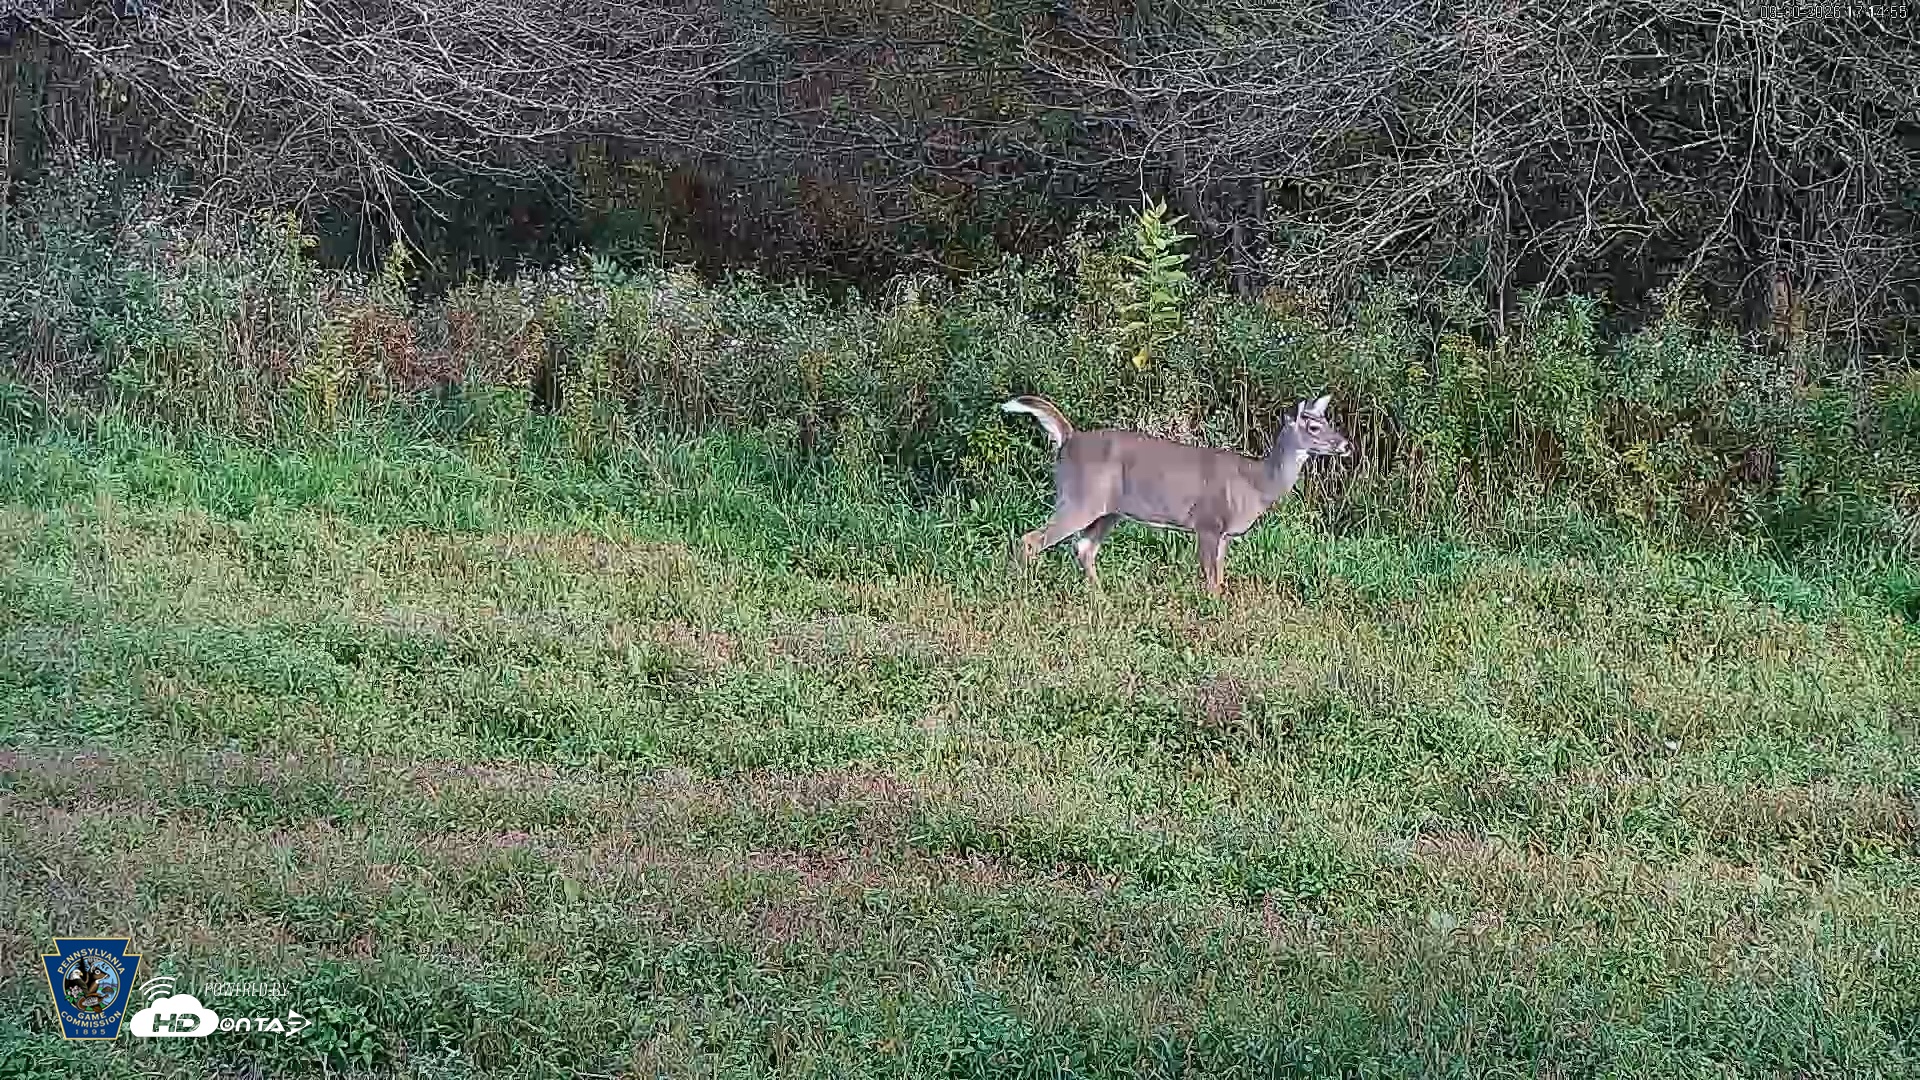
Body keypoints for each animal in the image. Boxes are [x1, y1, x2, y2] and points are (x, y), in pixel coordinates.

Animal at [1000, 393, 1353, 595]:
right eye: (1314, 428)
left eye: (1326, 420)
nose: (1346, 445)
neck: (1256, 484)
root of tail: (1069, 438)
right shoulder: (1208, 523)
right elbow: (1210, 580)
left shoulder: (1225, 534)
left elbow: (1219, 576)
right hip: (1079, 497)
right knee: (1030, 541)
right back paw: (1022, 592)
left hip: (1107, 510)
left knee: (1083, 547)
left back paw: (1101, 597)